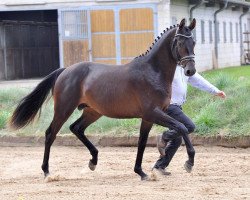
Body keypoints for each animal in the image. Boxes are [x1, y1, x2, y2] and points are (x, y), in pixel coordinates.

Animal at [8, 18, 197, 180]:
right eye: (180, 42)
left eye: (194, 42)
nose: (190, 71)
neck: (152, 72)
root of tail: (65, 70)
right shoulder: (153, 113)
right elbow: (181, 127)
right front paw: (188, 162)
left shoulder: (149, 117)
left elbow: (145, 141)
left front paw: (141, 171)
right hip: (63, 109)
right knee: (50, 134)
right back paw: (47, 172)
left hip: (92, 112)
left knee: (76, 128)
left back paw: (93, 161)